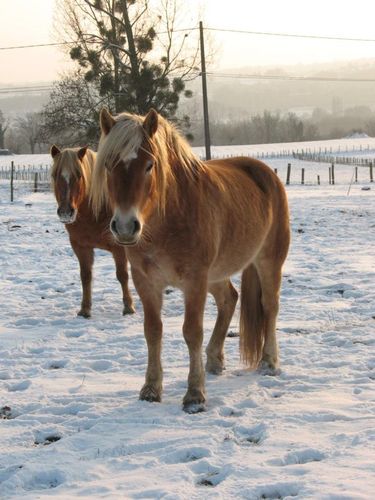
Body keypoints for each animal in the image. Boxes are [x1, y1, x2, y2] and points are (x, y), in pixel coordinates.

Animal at [50, 146, 135, 316]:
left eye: (79, 175)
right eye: (55, 175)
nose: (65, 212)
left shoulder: (119, 248)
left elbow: (122, 275)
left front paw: (128, 306)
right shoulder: (81, 247)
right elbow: (85, 276)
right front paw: (85, 309)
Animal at [91, 110, 290, 414]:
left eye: (149, 165)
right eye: (109, 165)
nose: (125, 227)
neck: (168, 218)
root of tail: (266, 174)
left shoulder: (195, 280)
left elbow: (192, 332)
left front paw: (195, 394)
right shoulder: (146, 281)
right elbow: (153, 331)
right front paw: (151, 388)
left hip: (268, 262)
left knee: (269, 306)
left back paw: (269, 362)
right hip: (217, 274)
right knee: (229, 299)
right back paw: (214, 360)